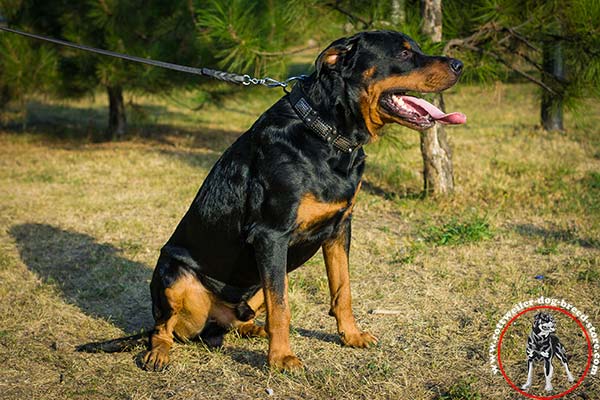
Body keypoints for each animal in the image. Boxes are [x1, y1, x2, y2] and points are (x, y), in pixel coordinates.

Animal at [77, 31, 466, 372]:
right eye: (403, 53)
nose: (460, 63)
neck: (327, 134)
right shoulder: (271, 236)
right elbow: (283, 307)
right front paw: (281, 359)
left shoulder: (340, 228)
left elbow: (342, 291)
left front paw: (351, 336)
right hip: (173, 272)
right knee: (162, 328)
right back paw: (160, 353)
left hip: (257, 284)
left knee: (232, 323)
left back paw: (252, 329)